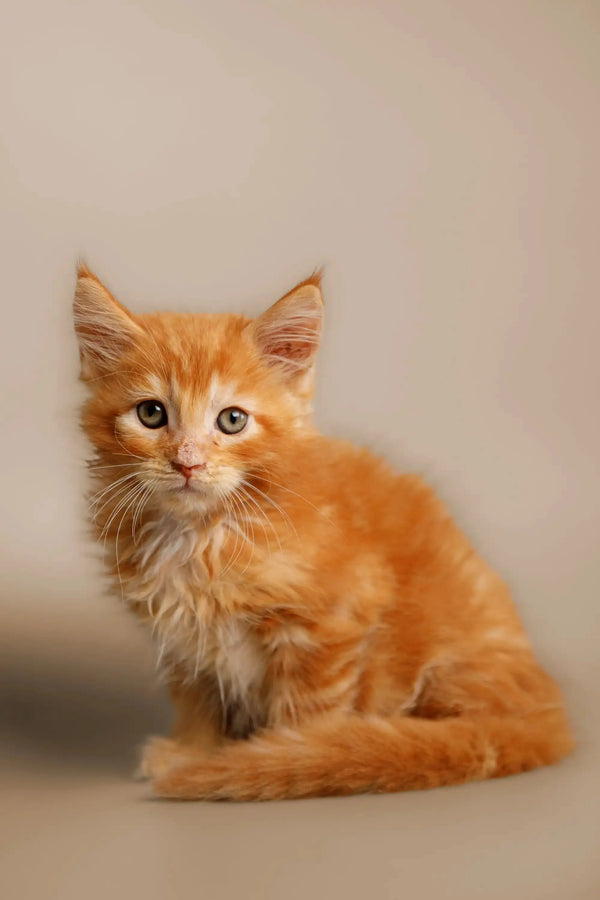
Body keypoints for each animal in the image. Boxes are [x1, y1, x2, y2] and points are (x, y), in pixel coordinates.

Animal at [72, 264, 576, 800]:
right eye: (151, 414)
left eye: (232, 420)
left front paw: (283, 759)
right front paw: (194, 749)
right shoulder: (182, 636)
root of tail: (550, 716)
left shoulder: (336, 617)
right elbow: (198, 695)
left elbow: (307, 709)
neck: (202, 534)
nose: (188, 463)